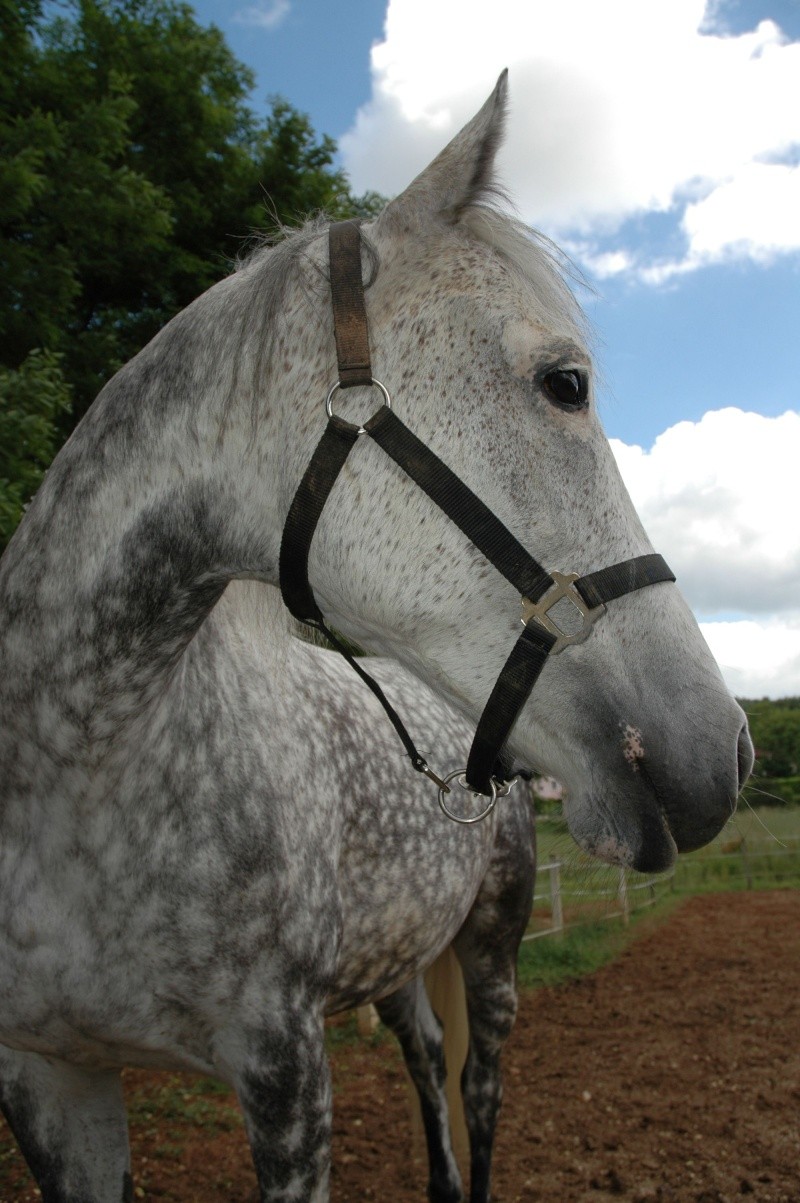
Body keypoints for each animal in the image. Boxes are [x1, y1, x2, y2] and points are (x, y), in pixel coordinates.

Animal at [0, 77, 750, 1203]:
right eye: (564, 383)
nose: (728, 749)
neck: (74, 773)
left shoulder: (284, 1070)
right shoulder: (52, 1079)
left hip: (492, 953)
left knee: (477, 1096)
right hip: (397, 963)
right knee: (430, 1076)